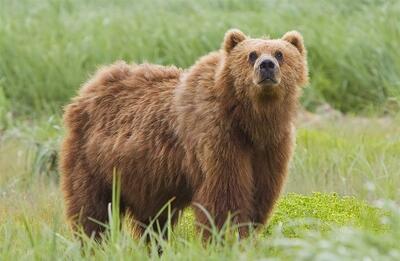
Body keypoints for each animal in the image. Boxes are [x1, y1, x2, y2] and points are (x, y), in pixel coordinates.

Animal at [60, 28, 310, 240]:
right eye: (251, 54)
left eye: (280, 53)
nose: (266, 65)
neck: (250, 120)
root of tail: (90, 85)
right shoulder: (217, 136)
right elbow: (224, 196)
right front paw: (224, 238)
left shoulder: (270, 147)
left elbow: (260, 195)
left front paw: (246, 234)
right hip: (93, 160)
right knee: (92, 209)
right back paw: (92, 242)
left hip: (147, 178)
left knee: (153, 221)